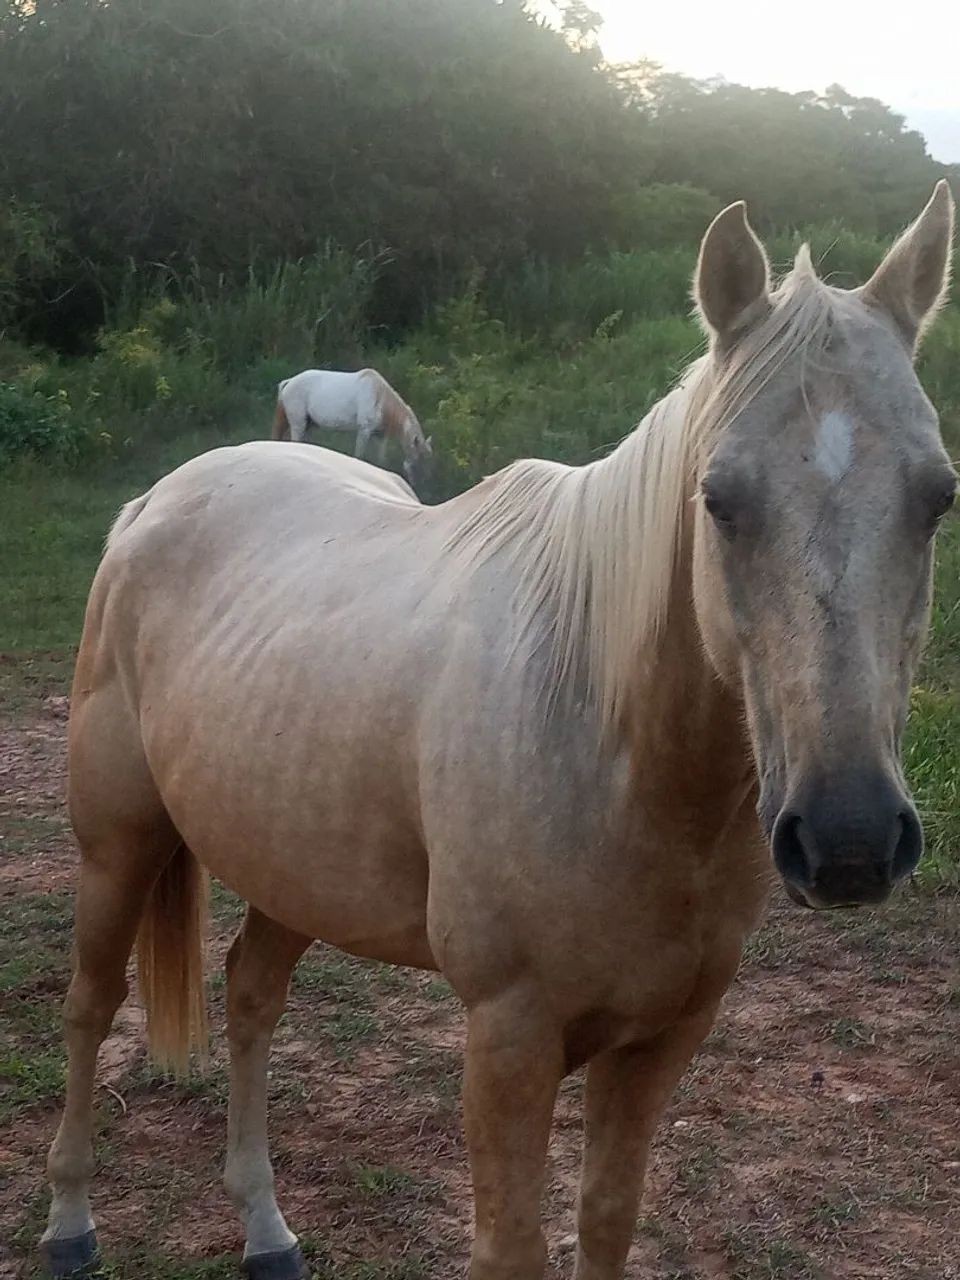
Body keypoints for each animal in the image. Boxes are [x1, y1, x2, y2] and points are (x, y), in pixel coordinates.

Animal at [271, 367, 433, 484]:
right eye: (418, 460)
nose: (421, 484)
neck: (380, 398)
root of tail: (290, 381)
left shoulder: (380, 436)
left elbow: (381, 459)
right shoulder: (364, 431)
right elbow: (359, 456)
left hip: (308, 425)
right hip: (298, 424)